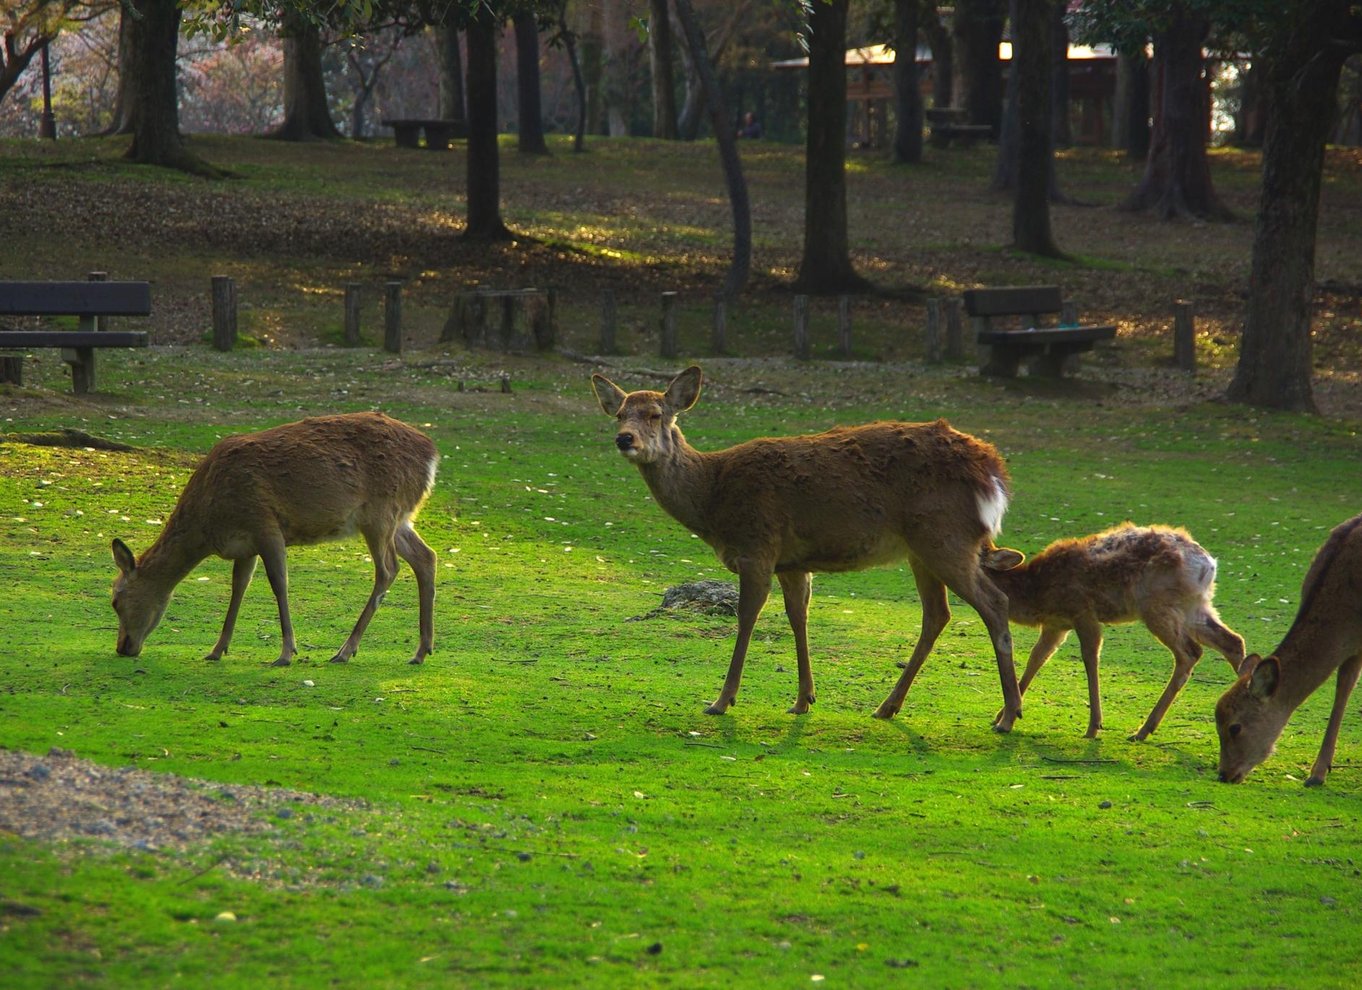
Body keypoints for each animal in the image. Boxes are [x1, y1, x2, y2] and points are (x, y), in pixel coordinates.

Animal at [115, 411, 441, 667]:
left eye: (116, 600)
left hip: (380, 512)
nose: (122, 647)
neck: (208, 524)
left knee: (388, 569)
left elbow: (279, 584)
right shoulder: (244, 546)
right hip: (401, 518)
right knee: (426, 557)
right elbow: (238, 588)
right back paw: (421, 651)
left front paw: (286, 653)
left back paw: (345, 650)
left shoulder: (265, 524)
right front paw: (216, 650)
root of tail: (432, 456)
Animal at [591, 367, 1024, 729]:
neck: (712, 498)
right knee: (938, 614)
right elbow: (798, 617)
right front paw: (803, 699)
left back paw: (1007, 715)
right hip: (923, 550)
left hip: (945, 537)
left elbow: (747, 618)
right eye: (619, 414)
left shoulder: (757, 546)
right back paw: (889, 706)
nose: (624, 438)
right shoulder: (793, 562)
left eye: (655, 414)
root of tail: (992, 470)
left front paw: (722, 700)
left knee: (994, 602)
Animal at [980, 525, 1247, 740]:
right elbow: (1036, 659)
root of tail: (1208, 564)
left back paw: (1142, 730)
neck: (1035, 593)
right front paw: (1002, 716)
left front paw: (1093, 726)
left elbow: (1090, 659)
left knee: (1190, 652)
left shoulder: (1083, 612)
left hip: (1157, 606)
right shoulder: (1056, 624)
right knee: (1233, 641)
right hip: (1196, 605)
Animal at [1214, 514, 1362, 784]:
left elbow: (1344, 688)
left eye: (1235, 727)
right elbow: (1344, 686)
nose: (1224, 774)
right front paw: (1318, 772)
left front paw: (1317, 775)